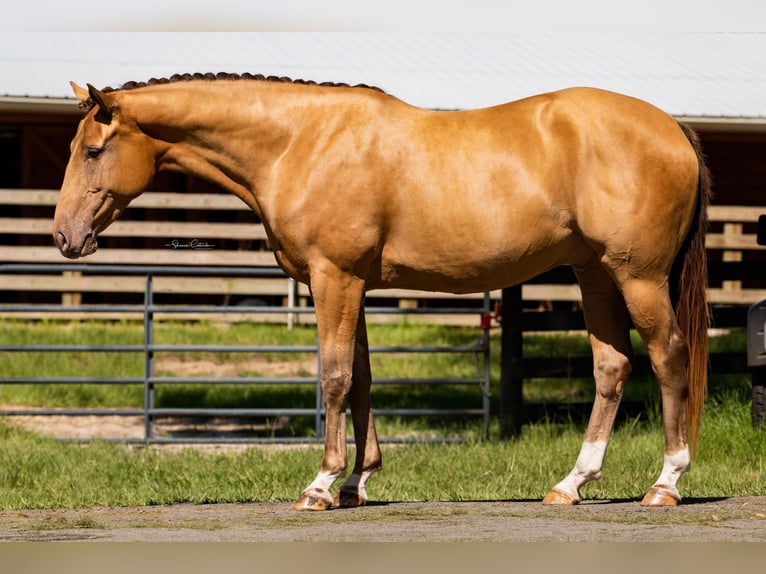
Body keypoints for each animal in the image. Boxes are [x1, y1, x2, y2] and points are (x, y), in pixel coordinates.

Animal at [54, 73, 712, 512]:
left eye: (93, 150)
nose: (65, 236)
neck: (300, 143)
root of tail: (672, 127)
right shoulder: (355, 284)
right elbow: (363, 379)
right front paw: (356, 483)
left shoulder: (334, 279)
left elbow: (335, 377)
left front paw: (320, 486)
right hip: (595, 274)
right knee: (612, 368)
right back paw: (571, 484)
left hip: (638, 277)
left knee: (668, 358)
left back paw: (666, 483)